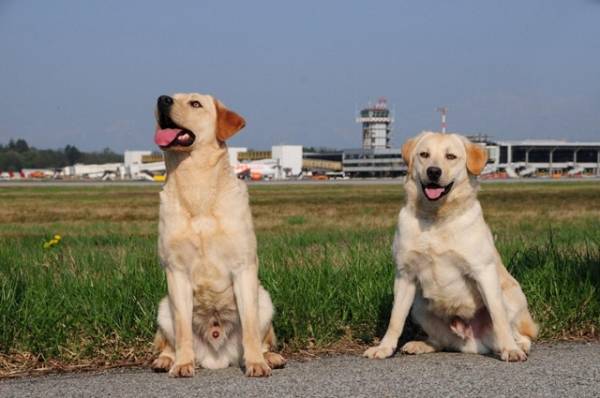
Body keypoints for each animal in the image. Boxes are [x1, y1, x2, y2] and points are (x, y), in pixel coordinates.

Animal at [152, 92, 286, 376]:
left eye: (195, 104)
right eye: (171, 96)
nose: (162, 99)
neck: (197, 186)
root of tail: (217, 358)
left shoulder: (243, 267)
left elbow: (249, 328)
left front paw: (256, 363)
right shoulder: (176, 271)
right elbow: (182, 330)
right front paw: (182, 364)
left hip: (265, 298)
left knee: (261, 338)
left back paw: (269, 357)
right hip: (163, 307)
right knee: (170, 342)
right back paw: (168, 360)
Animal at [366, 132, 540, 362]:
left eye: (451, 156)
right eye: (424, 154)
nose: (433, 171)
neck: (436, 218)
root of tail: (473, 343)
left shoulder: (483, 272)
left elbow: (498, 316)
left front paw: (510, 349)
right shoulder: (405, 275)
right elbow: (396, 319)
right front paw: (385, 348)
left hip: (511, 295)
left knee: (520, 333)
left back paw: (516, 346)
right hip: (420, 307)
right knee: (441, 341)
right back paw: (421, 344)